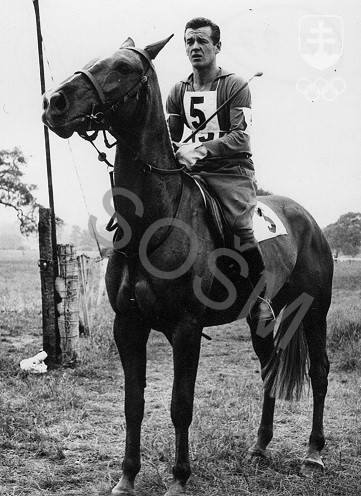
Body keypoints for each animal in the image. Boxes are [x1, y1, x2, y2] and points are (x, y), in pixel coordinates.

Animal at [41, 35, 332, 496]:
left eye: (122, 67)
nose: (54, 102)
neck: (151, 222)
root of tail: (310, 220)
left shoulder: (186, 329)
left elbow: (181, 405)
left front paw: (179, 478)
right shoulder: (128, 326)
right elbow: (134, 404)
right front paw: (127, 477)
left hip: (315, 310)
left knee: (319, 373)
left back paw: (313, 453)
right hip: (261, 318)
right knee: (268, 369)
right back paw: (260, 446)